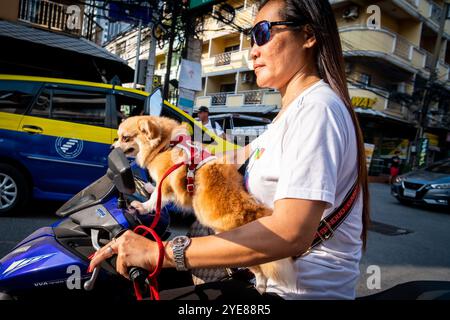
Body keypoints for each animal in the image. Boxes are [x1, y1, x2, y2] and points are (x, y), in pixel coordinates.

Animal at [114, 115, 298, 292]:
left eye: (125, 138)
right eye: (118, 137)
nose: (112, 146)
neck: (164, 145)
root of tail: (251, 210)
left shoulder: (165, 184)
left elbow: (156, 198)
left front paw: (143, 206)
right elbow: (155, 189)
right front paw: (149, 186)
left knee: (259, 269)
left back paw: (259, 285)